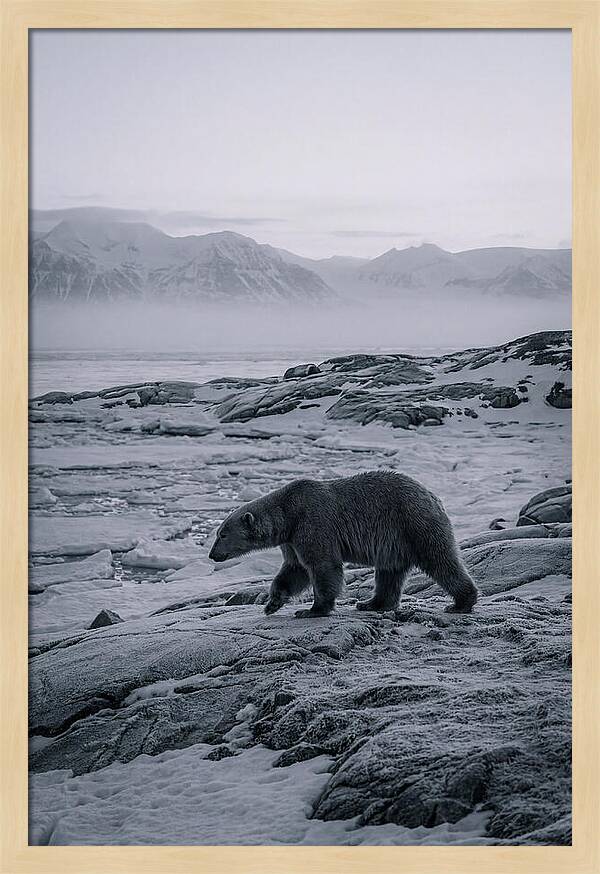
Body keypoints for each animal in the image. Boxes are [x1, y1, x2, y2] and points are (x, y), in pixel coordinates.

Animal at [208, 470, 478, 619]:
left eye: (222, 534)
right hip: (395, 542)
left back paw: (461, 602)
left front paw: (312, 609)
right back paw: (371, 603)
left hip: (414, 523)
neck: (288, 513)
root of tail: (433, 496)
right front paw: (272, 603)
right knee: (389, 573)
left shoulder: (313, 522)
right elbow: (294, 569)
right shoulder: (292, 539)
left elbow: (322, 565)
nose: (212, 555)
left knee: (440, 559)